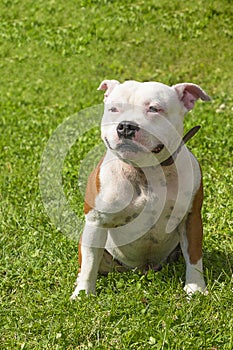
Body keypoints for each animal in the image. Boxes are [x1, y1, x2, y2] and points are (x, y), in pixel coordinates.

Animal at [70, 79, 210, 298]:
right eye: (114, 109)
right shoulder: (96, 221)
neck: (146, 171)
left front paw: (195, 288)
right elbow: (89, 263)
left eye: (154, 109)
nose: (126, 126)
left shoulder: (191, 218)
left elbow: (195, 256)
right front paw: (83, 293)